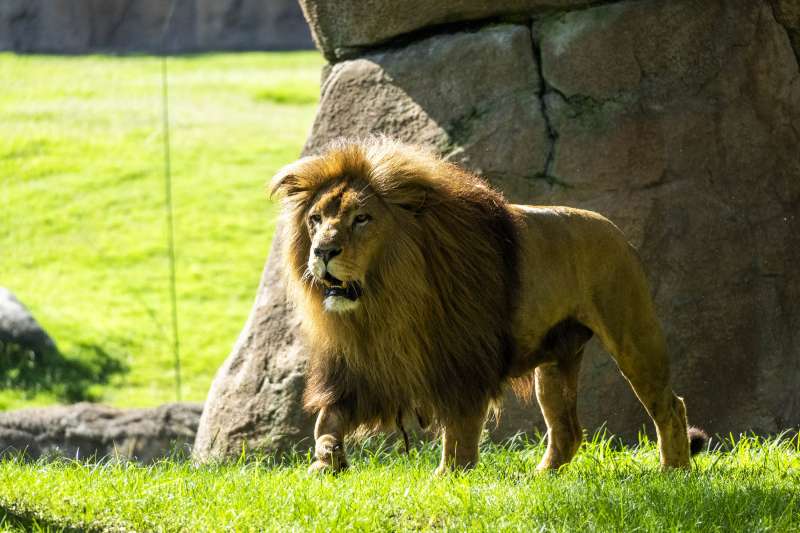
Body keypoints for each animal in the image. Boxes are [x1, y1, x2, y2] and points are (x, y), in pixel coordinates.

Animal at [268, 135, 708, 472]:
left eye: (362, 219)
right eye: (315, 220)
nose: (323, 252)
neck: (387, 299)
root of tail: (616, 231)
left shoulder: (463, 363)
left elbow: (460, 432)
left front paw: (448, 477)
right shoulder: (363, 369)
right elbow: (327, 420)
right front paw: (326, 460)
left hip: (633, 337)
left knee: (671, 406)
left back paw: (674, 471)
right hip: (554, 363)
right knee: (567, 430)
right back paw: (540, 480)